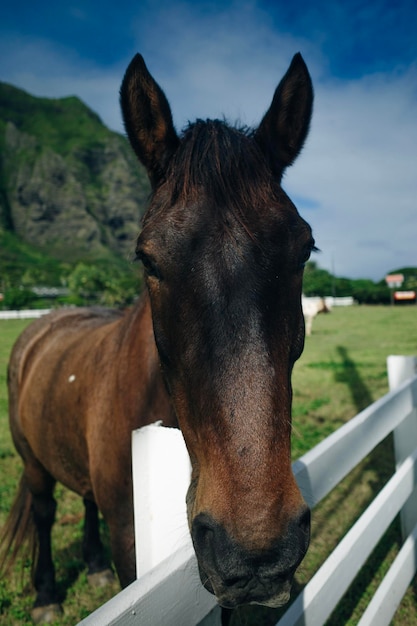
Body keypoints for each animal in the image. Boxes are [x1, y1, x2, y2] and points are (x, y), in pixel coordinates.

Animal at [0, 50, 314, 620]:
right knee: (44, 509)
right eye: (148, 259)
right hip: (32, 462)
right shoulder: (130, 541)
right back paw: (47, 595)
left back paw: (93, 567)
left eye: (304, 249)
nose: (258, 549)